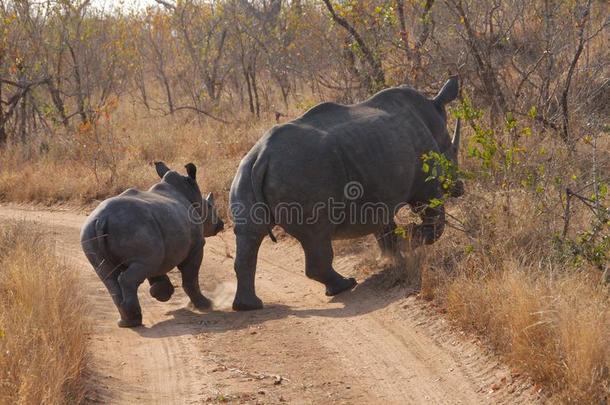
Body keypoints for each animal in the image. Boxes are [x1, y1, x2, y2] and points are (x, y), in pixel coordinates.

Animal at [81, 161, 223, 326]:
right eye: (210, 207)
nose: (221, 224)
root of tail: (102, 219)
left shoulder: (161, 249)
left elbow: (157, 272)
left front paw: (162, 293)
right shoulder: (197, 246)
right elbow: (190, 278)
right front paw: (205, 305)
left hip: (90, 232)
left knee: (109, 277)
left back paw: (126, 322)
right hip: (134, 227)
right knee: (129, 274)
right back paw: (134, 320)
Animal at [228, 76, 460, 310]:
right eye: (453, 151)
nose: (459, 189)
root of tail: (262, 158)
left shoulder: (376, 191)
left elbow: (383, 227)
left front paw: (394, 254)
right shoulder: (425, 183)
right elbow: (434, 221)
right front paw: (411, 238)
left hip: (245, 173)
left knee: (250, 233)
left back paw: (249, 306)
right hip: (302, 171)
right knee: (316, 236)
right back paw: (346, 285)